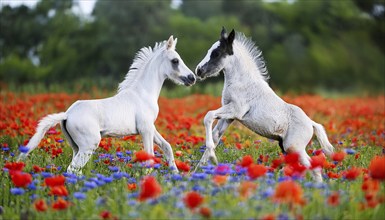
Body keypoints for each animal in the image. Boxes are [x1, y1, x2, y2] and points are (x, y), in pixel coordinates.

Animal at [18, 35, 195, 174]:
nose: (192, 78)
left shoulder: (150, 127)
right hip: (89, 145)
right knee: (72, 169)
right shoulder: (145, 129)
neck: (143, 93)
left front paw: (175, 174)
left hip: (76, 147)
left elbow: (167, 147)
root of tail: (67, 114)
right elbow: (150, 158)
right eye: (175, 60)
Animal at [195, 27, 332, 182]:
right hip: (286, 149)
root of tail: (311, 123)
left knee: (314, 168)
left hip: (294, 148)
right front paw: (198, 169)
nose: (198, 70)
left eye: (217, 53)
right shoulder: (228, 117)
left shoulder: (236, 110)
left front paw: (211, 157)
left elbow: (208, 115)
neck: (242, 82)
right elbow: (215, 135)